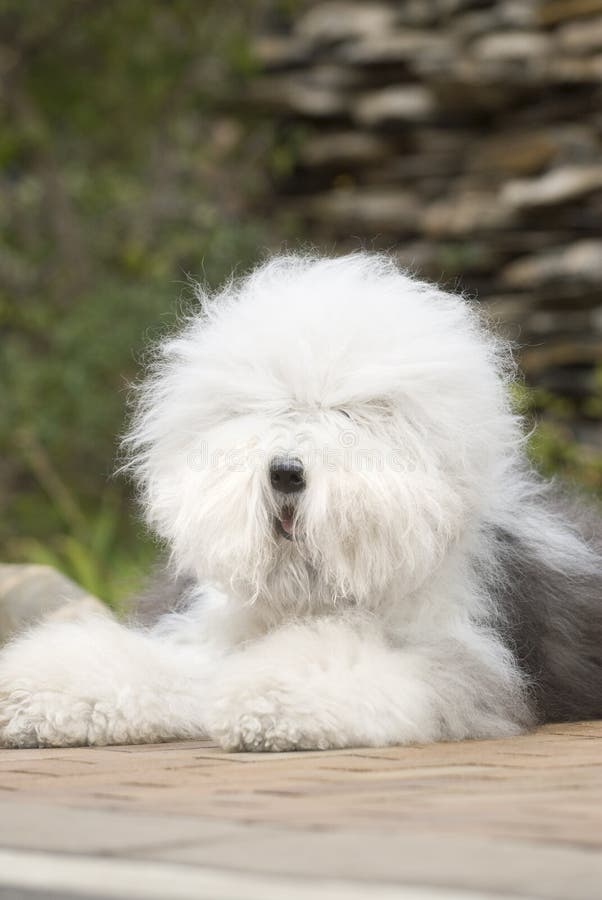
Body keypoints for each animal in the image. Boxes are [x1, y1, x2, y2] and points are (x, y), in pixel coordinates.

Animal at [1, 255, 600, 752]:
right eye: (270, 410)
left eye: (348, 415)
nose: (286, 472)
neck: (308, 595)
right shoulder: (202, 639)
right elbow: (149, 664)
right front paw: (29, 696)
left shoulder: (459, 654)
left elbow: (340, 662)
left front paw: (267, 704)